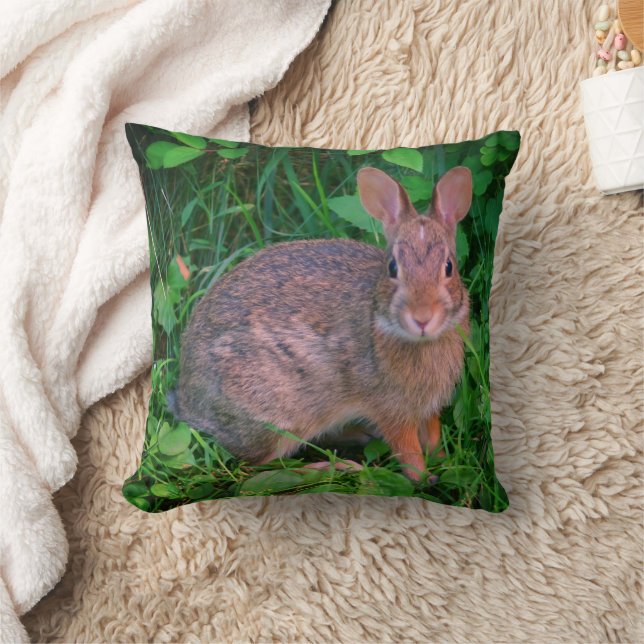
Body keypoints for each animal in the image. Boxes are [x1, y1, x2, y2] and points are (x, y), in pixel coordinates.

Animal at [175, 165, 472, 481]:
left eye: (449, 267)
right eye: (392, 267)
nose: (422, 318)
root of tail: (188, 402)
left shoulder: (428, 408)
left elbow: (433, 435)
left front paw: (444, 462)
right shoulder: (391, 409)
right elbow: (408, 450)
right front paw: (423, 479)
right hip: (279, 416)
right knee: (257, 468)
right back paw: (332, 466)